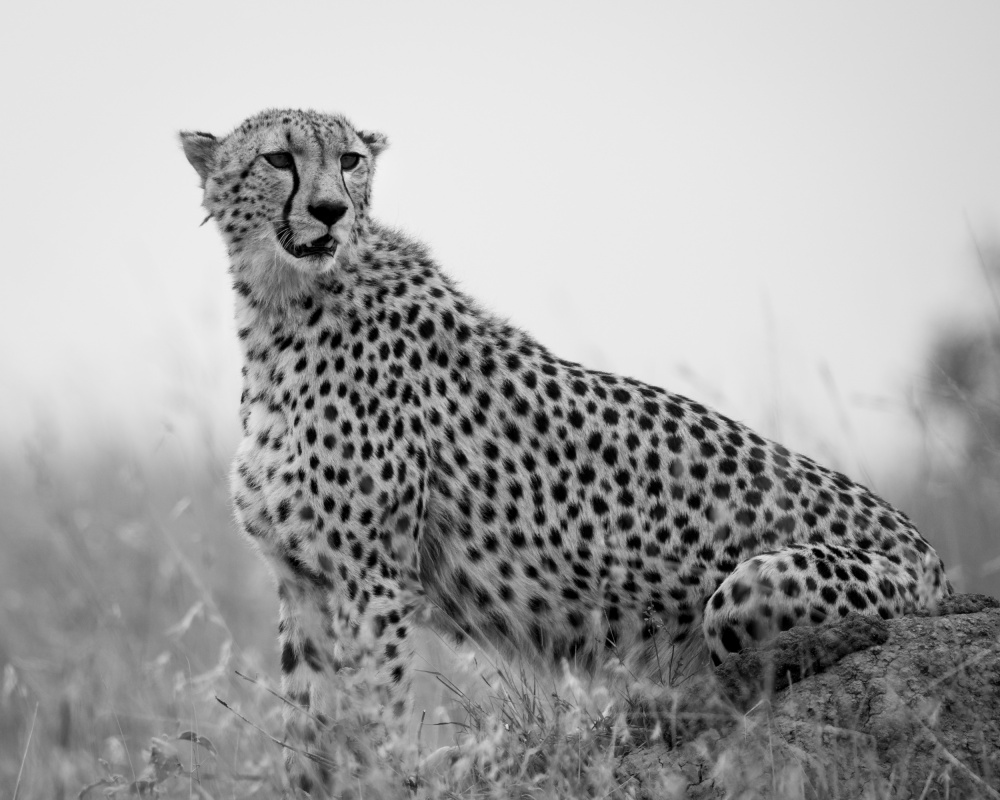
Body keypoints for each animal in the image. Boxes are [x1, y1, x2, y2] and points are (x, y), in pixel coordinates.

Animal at [180, 108, 952, 795]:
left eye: (350, 160)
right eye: (279, 159)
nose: (331, 210)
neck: (280, 306)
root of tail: (935, 561)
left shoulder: (373, 581)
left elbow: (371, 718)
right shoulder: (305, 582)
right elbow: (305, 734)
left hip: (750, 586)